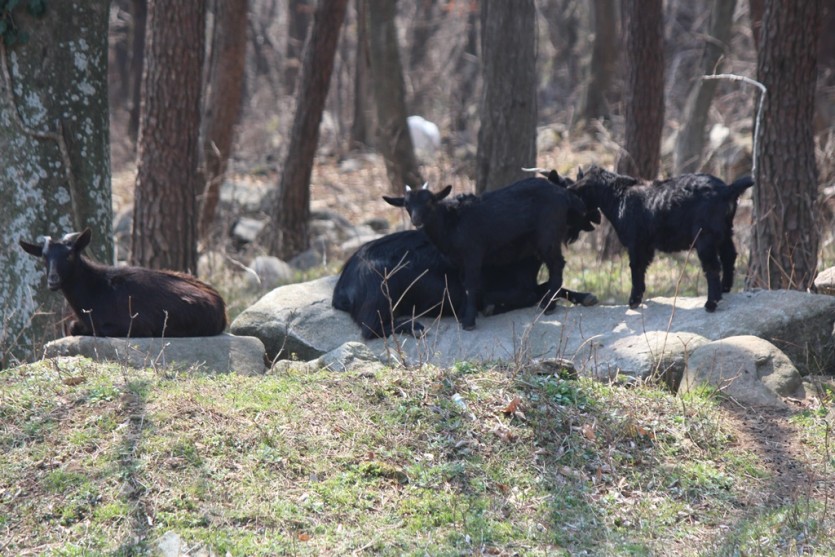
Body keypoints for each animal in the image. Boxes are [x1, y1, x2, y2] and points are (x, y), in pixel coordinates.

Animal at [19, 228, 227, 336]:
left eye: (69, 255)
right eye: (44, 257)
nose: (53, 281)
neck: (97, 287)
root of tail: (220, 304)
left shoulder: (137, 325)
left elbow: (98, 329)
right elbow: (72, 327)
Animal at [332, 227, 596, 336]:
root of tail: (341, 289)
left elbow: (552, 289)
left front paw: (585, 296)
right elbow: (534, 294)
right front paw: (491, 308)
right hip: (381, 291)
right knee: (369, 329)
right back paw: (413, 327)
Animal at [382, 176, 596, 328]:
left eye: (430, 202)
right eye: (407, 205)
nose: (416, 220)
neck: (451, 222)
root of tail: (564, 195)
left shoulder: (473, 254)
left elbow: (472, 284)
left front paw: (469, 321)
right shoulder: (460, 262)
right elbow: (464, 284)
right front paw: (464, 314)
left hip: (547, 235)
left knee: (557, 265)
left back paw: (549, 304)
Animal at [568, 165, 756, 312]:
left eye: (579, 194)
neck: (618, 195)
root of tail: (727, 190)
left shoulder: (636, 244)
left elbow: (635, 268)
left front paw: (634, 300)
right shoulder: (646, 246)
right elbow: (642, 269)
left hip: (705, 238)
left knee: (712, 268)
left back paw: (711, 303)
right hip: (725, 233)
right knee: (729, 257)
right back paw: (725, 288)